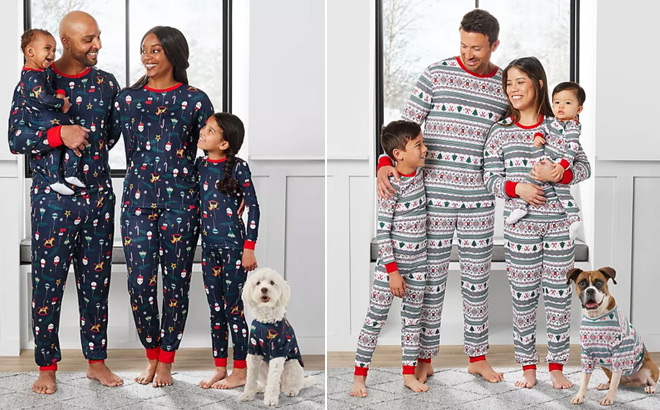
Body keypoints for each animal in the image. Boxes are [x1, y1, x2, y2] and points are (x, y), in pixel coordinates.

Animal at [238, 268, 316, 406]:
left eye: (272, 282)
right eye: (258, 283)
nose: (264, 289)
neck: (266, 320)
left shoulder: (279, 350)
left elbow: (273, 378)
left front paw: (270, 399)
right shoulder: (253, 351)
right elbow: (251, 377)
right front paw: (247, 395)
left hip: (292, 364)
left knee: (291, 384)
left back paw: (291, 390)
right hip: (263, 365)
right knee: (268, 383)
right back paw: (260, 388)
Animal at [568, 268, 660, 406]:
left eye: (599, 282)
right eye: (582, 283)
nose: (590, 290)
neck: (596, 316)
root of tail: (631, 381)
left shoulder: (620, 353)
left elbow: (614, 385)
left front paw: (608, 398)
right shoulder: (587, 354)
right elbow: (584, 380)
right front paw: (579, 396)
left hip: (649, 365)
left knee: (652, 382)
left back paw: (650, 387)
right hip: (603, 364)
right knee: (613, 380)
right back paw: (605, 384)